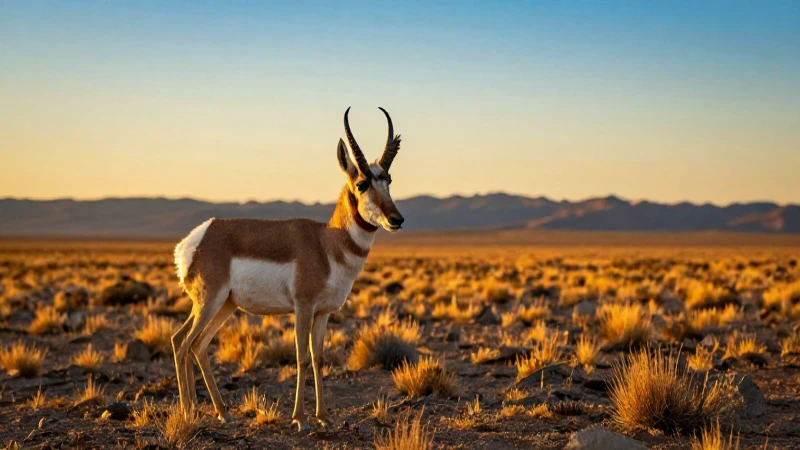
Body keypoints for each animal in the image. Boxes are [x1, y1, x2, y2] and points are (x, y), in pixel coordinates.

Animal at [171, 107, 404, 431]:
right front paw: (300, 418)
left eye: (388, 180)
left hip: (225, 305)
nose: (396, 219)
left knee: (198, 346)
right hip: (209, 302)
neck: (327, 242)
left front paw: (324, 416)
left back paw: (222, 412)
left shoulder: (323, 312)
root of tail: (197, 238)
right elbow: (302, 357)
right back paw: (189, 412)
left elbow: (319, 358)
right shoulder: (303, 307)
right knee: (182, 342)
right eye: (362, 183)